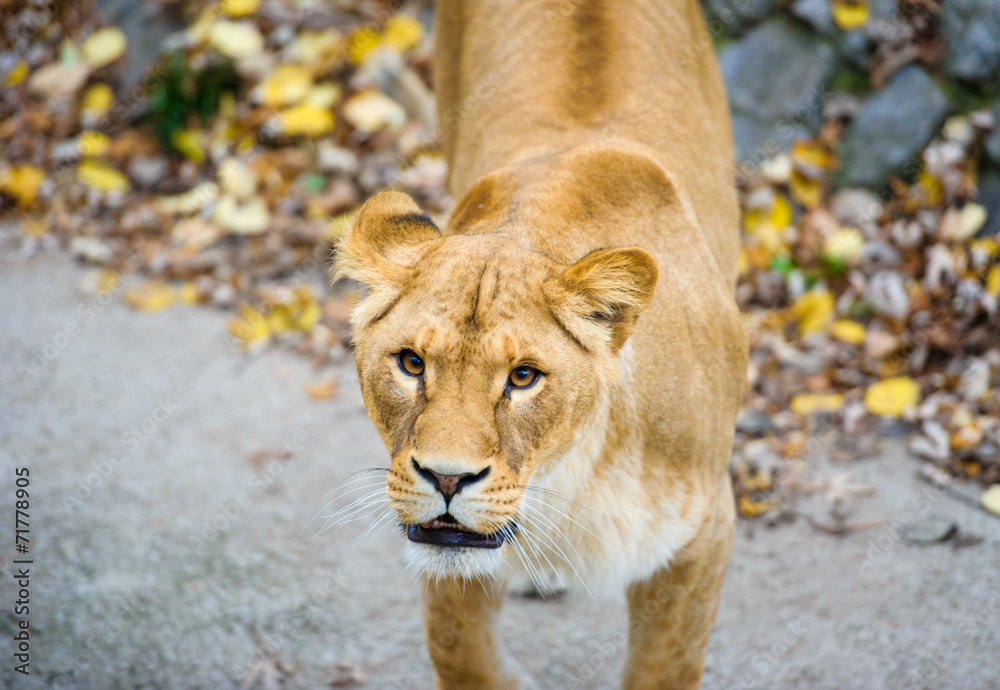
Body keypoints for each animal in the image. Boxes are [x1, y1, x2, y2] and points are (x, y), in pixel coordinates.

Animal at [332, 0, 747, 687]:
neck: (570, 477)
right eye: (412, 363)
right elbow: (462, 653)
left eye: (523, 377)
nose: (446, 479)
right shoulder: (445, 553)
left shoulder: (702, 535)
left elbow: (664, 666)